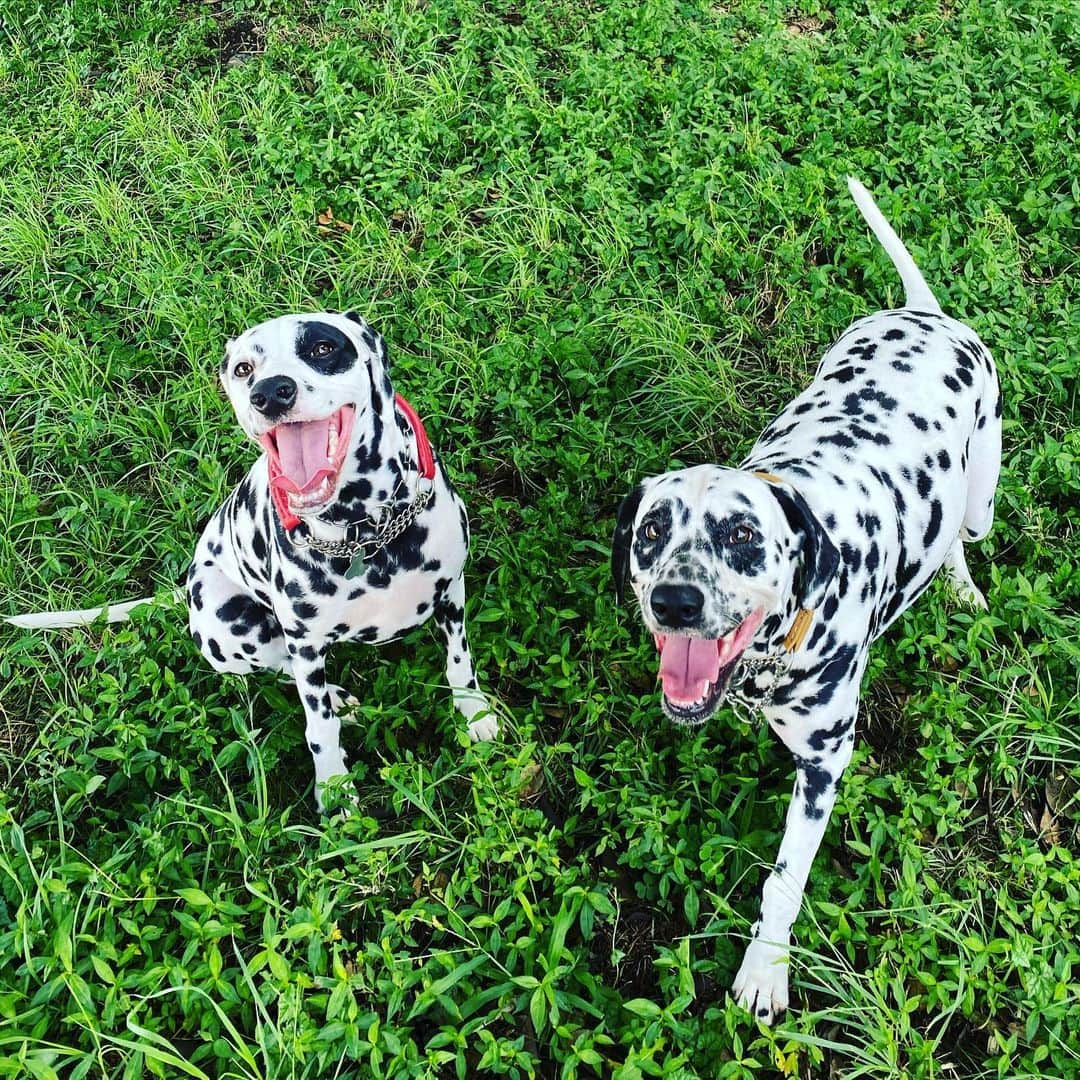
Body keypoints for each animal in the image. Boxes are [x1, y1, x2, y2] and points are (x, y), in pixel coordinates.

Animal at [613, 181, 997, 1023]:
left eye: (742, 534)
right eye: (653, 528)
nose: (675, 602)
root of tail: (927, 315)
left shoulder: (825, 764)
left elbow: (782, 881)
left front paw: (765, 969)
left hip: (981, 493)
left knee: (962, 531)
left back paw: (959, 583)